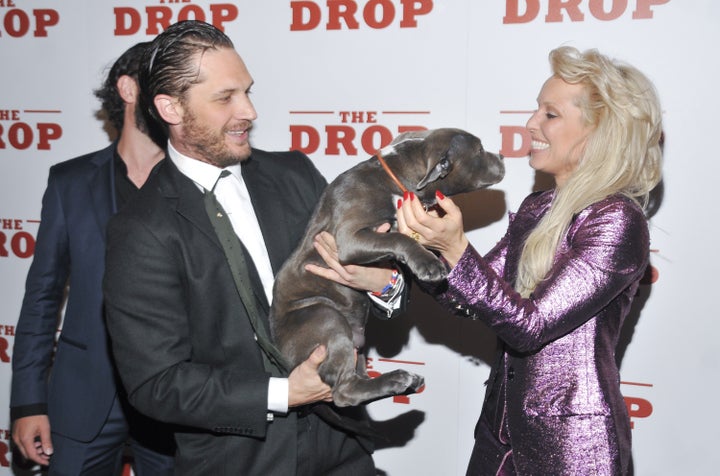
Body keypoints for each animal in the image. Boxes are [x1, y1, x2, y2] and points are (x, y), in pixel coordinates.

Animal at [270, 128, 506, 408]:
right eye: (479, 150)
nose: (502, 155)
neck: (398, 179)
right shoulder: (349, 239)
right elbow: (398, 238)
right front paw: (428, 263)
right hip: (325, 316)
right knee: (343, 392)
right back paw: (396, 379)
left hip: (355, 347)